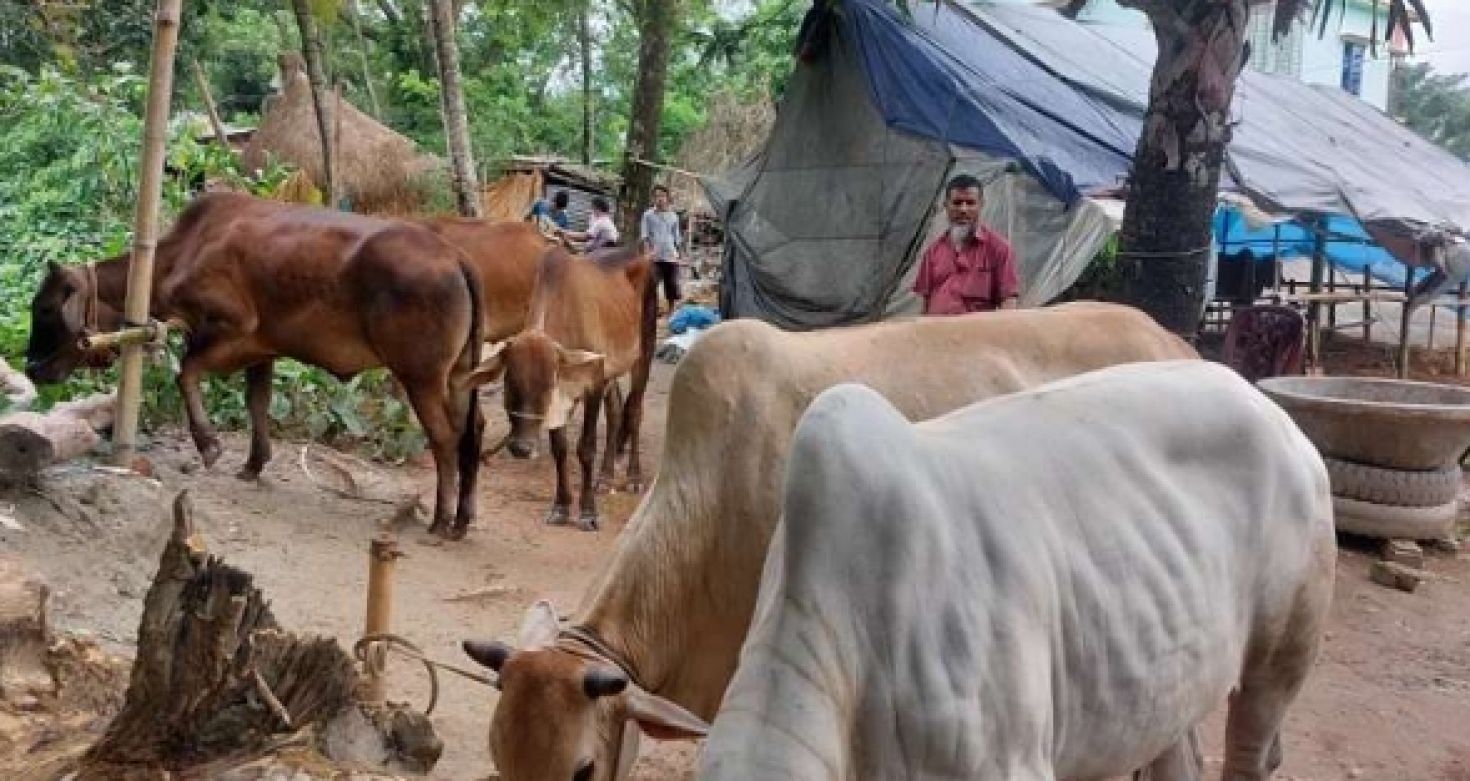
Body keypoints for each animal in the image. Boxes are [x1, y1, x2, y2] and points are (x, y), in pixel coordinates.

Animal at [467, 245, 658, 532]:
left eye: (548, 385)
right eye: (509, 384)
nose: (521, 448)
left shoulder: (593, 382)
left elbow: (585, 448)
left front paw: (588, 513)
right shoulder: (580, 387)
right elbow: (560, 449)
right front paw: (561, 507)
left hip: (644, 351)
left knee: (634, 410)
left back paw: (634, 478)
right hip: (612, 370)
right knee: (615, 410)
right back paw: (605, 478)